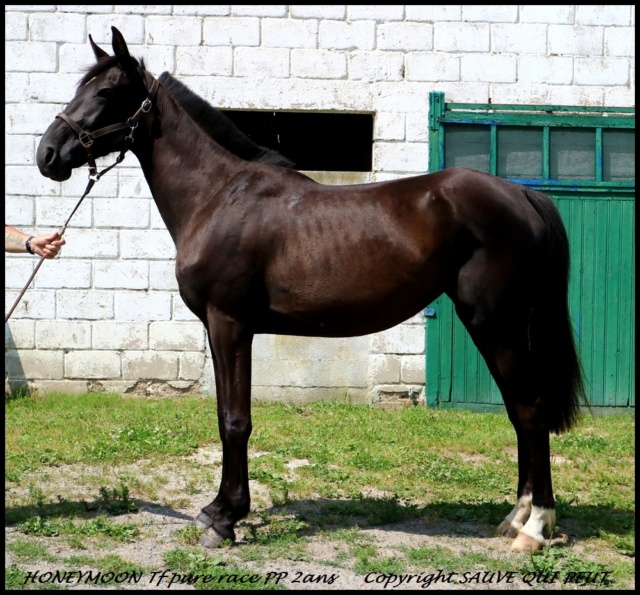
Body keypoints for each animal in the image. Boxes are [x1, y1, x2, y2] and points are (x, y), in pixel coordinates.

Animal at [35, 25, 584, 552]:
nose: (47, 155)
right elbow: (224, 414)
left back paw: (535, 528)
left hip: (496, 323)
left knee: (530, 410)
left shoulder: (229, 323)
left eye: (106, 92)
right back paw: (514, 518)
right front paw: (218, 510)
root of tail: (520, 194)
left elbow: (234, 419)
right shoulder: (222, 328)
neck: (218, 196)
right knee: (518, 411)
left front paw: (225, 519)